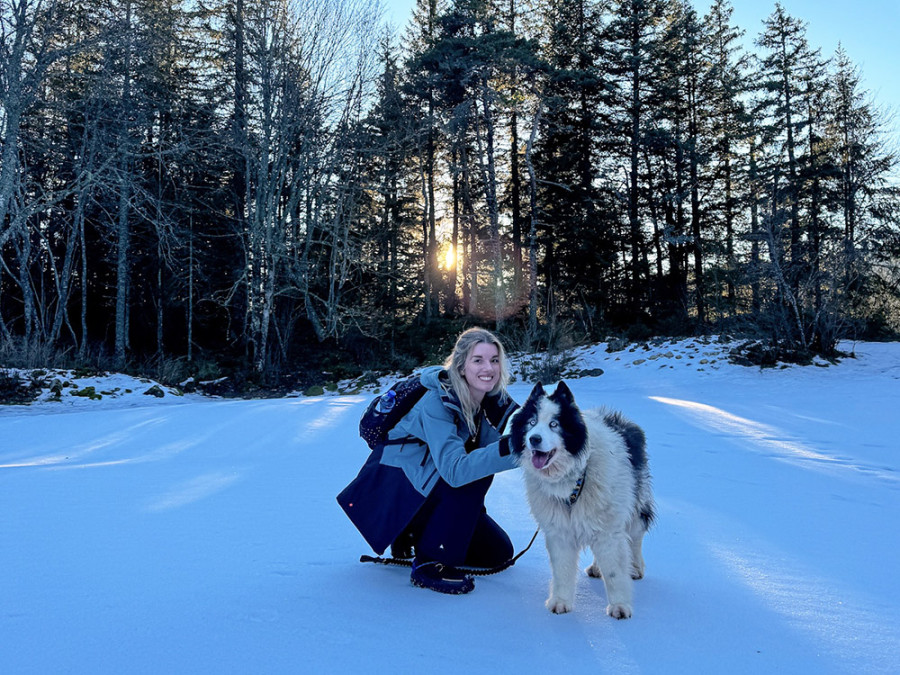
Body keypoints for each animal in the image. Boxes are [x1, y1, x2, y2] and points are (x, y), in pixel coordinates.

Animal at [506, 382, 652, 620]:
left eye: (554, 424)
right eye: (532, 422)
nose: (534, 439)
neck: (573, 479)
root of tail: (620, 420)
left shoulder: (609, 531)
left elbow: (614, 571)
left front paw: (620, 606)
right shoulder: (559, 531)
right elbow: (562, 570)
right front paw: (560, 602)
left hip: (634, 502)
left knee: (636, 535)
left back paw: (636, 567)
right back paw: (596, 568)